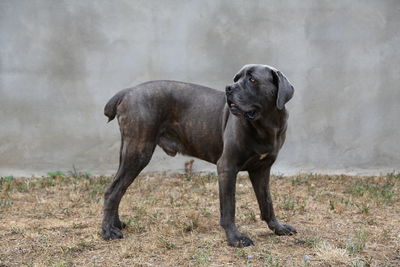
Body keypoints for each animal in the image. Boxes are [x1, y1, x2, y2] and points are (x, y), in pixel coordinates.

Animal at [102, 63, 296, 248]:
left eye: (252, 79)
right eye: (236, 78)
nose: (229, 88)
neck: (266, 124)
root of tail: (127, 91)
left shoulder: (261, 170)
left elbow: (267, 202)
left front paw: (278, 228)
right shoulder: (227, 167)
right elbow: (229, 206)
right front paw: (235, 238)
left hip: (129, 152)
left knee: (119, 189)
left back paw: (116, 224)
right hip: (138, 152)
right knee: (112, 191)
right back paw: (108, 231)